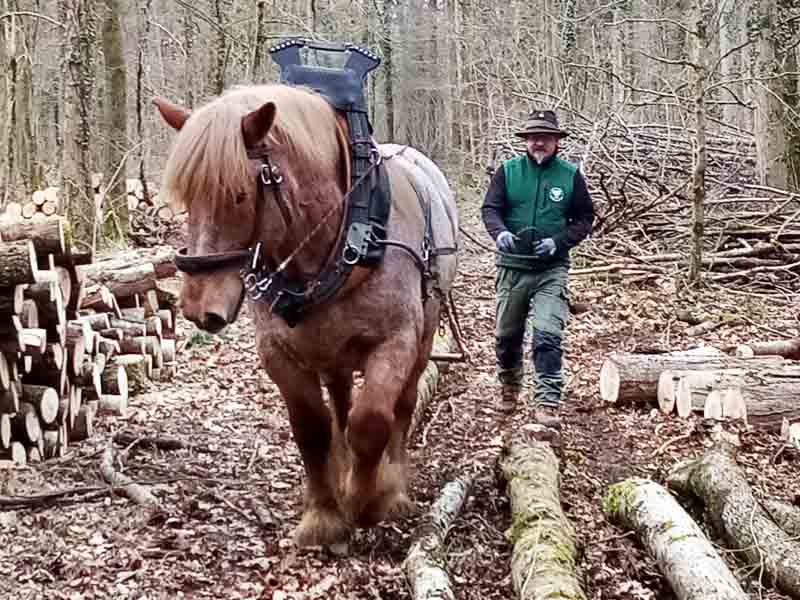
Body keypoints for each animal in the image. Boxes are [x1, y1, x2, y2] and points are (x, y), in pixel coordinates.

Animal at [153, 82, 460, 548]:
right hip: (331, 352)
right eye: (188, 199)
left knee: (403, 406)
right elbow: (312, 430)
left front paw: (369, 501)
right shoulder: (279, 353)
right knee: (341, 399)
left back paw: (391, 484)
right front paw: (324, 514)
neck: (345, 242)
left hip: (423, 334)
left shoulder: (396, 342)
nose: (197, 307)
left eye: (239, 194)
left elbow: (372, 421)